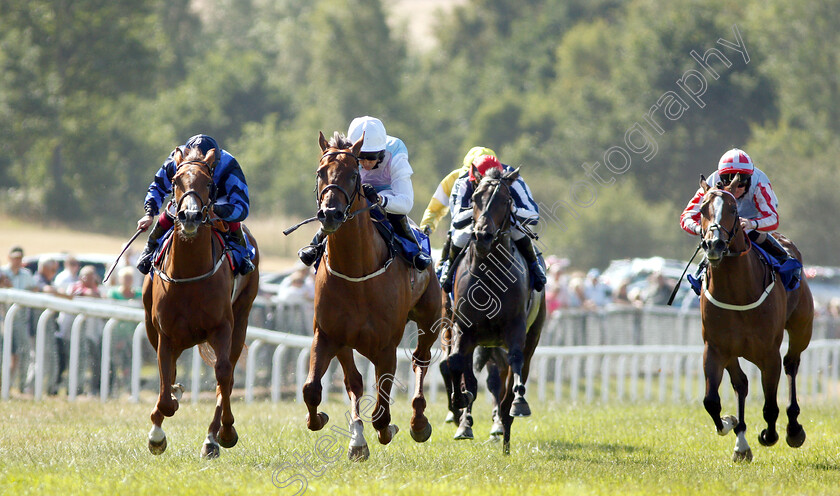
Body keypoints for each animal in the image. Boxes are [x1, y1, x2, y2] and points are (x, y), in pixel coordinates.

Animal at [141, 145, 260, 460]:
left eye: (208, 183)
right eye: (175, 181)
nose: (190, 216)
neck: (189, 274)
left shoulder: (222, 328)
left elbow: (224, 375)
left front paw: (225, 433)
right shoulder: (165, 333)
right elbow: (165, 383)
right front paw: (157, 433)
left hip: (241, 318)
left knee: (226, 377)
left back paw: (212, 439)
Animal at [304, 132, 446, 462]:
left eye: (353, 175)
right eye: (320, 172)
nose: (330, 214)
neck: (356, 272)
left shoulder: (386, 346)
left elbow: (381, 410)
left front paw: (388, 429)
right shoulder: (328, 334)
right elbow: (313, 388)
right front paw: (330, 425)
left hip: (430, 318)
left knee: (421, 360)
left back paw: (418, 422)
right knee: (354, 382)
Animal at [442, 167, 548, 454]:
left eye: (505, 199)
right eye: (475, 197)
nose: (482, 235)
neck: (488, 275)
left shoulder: (516, 329)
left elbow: (514, 368)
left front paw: (517, 405)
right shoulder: (463, 329)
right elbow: (456, 364)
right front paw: (459, 406)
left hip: (532, 335)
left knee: (514, 376)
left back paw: (506, 431)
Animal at [696, 174, 812, 462]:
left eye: (733, 210)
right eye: (702, 208)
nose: (714, 244)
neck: (737, 292)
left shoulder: (768, 353)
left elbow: (770, 406)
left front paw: (770, 435)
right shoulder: (715, 349)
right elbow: (711, 401)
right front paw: (730, 423)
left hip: (802, 329)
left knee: (791, 363)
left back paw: (794, 429)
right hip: (733, 351)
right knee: (741, 384)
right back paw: (741, 443)